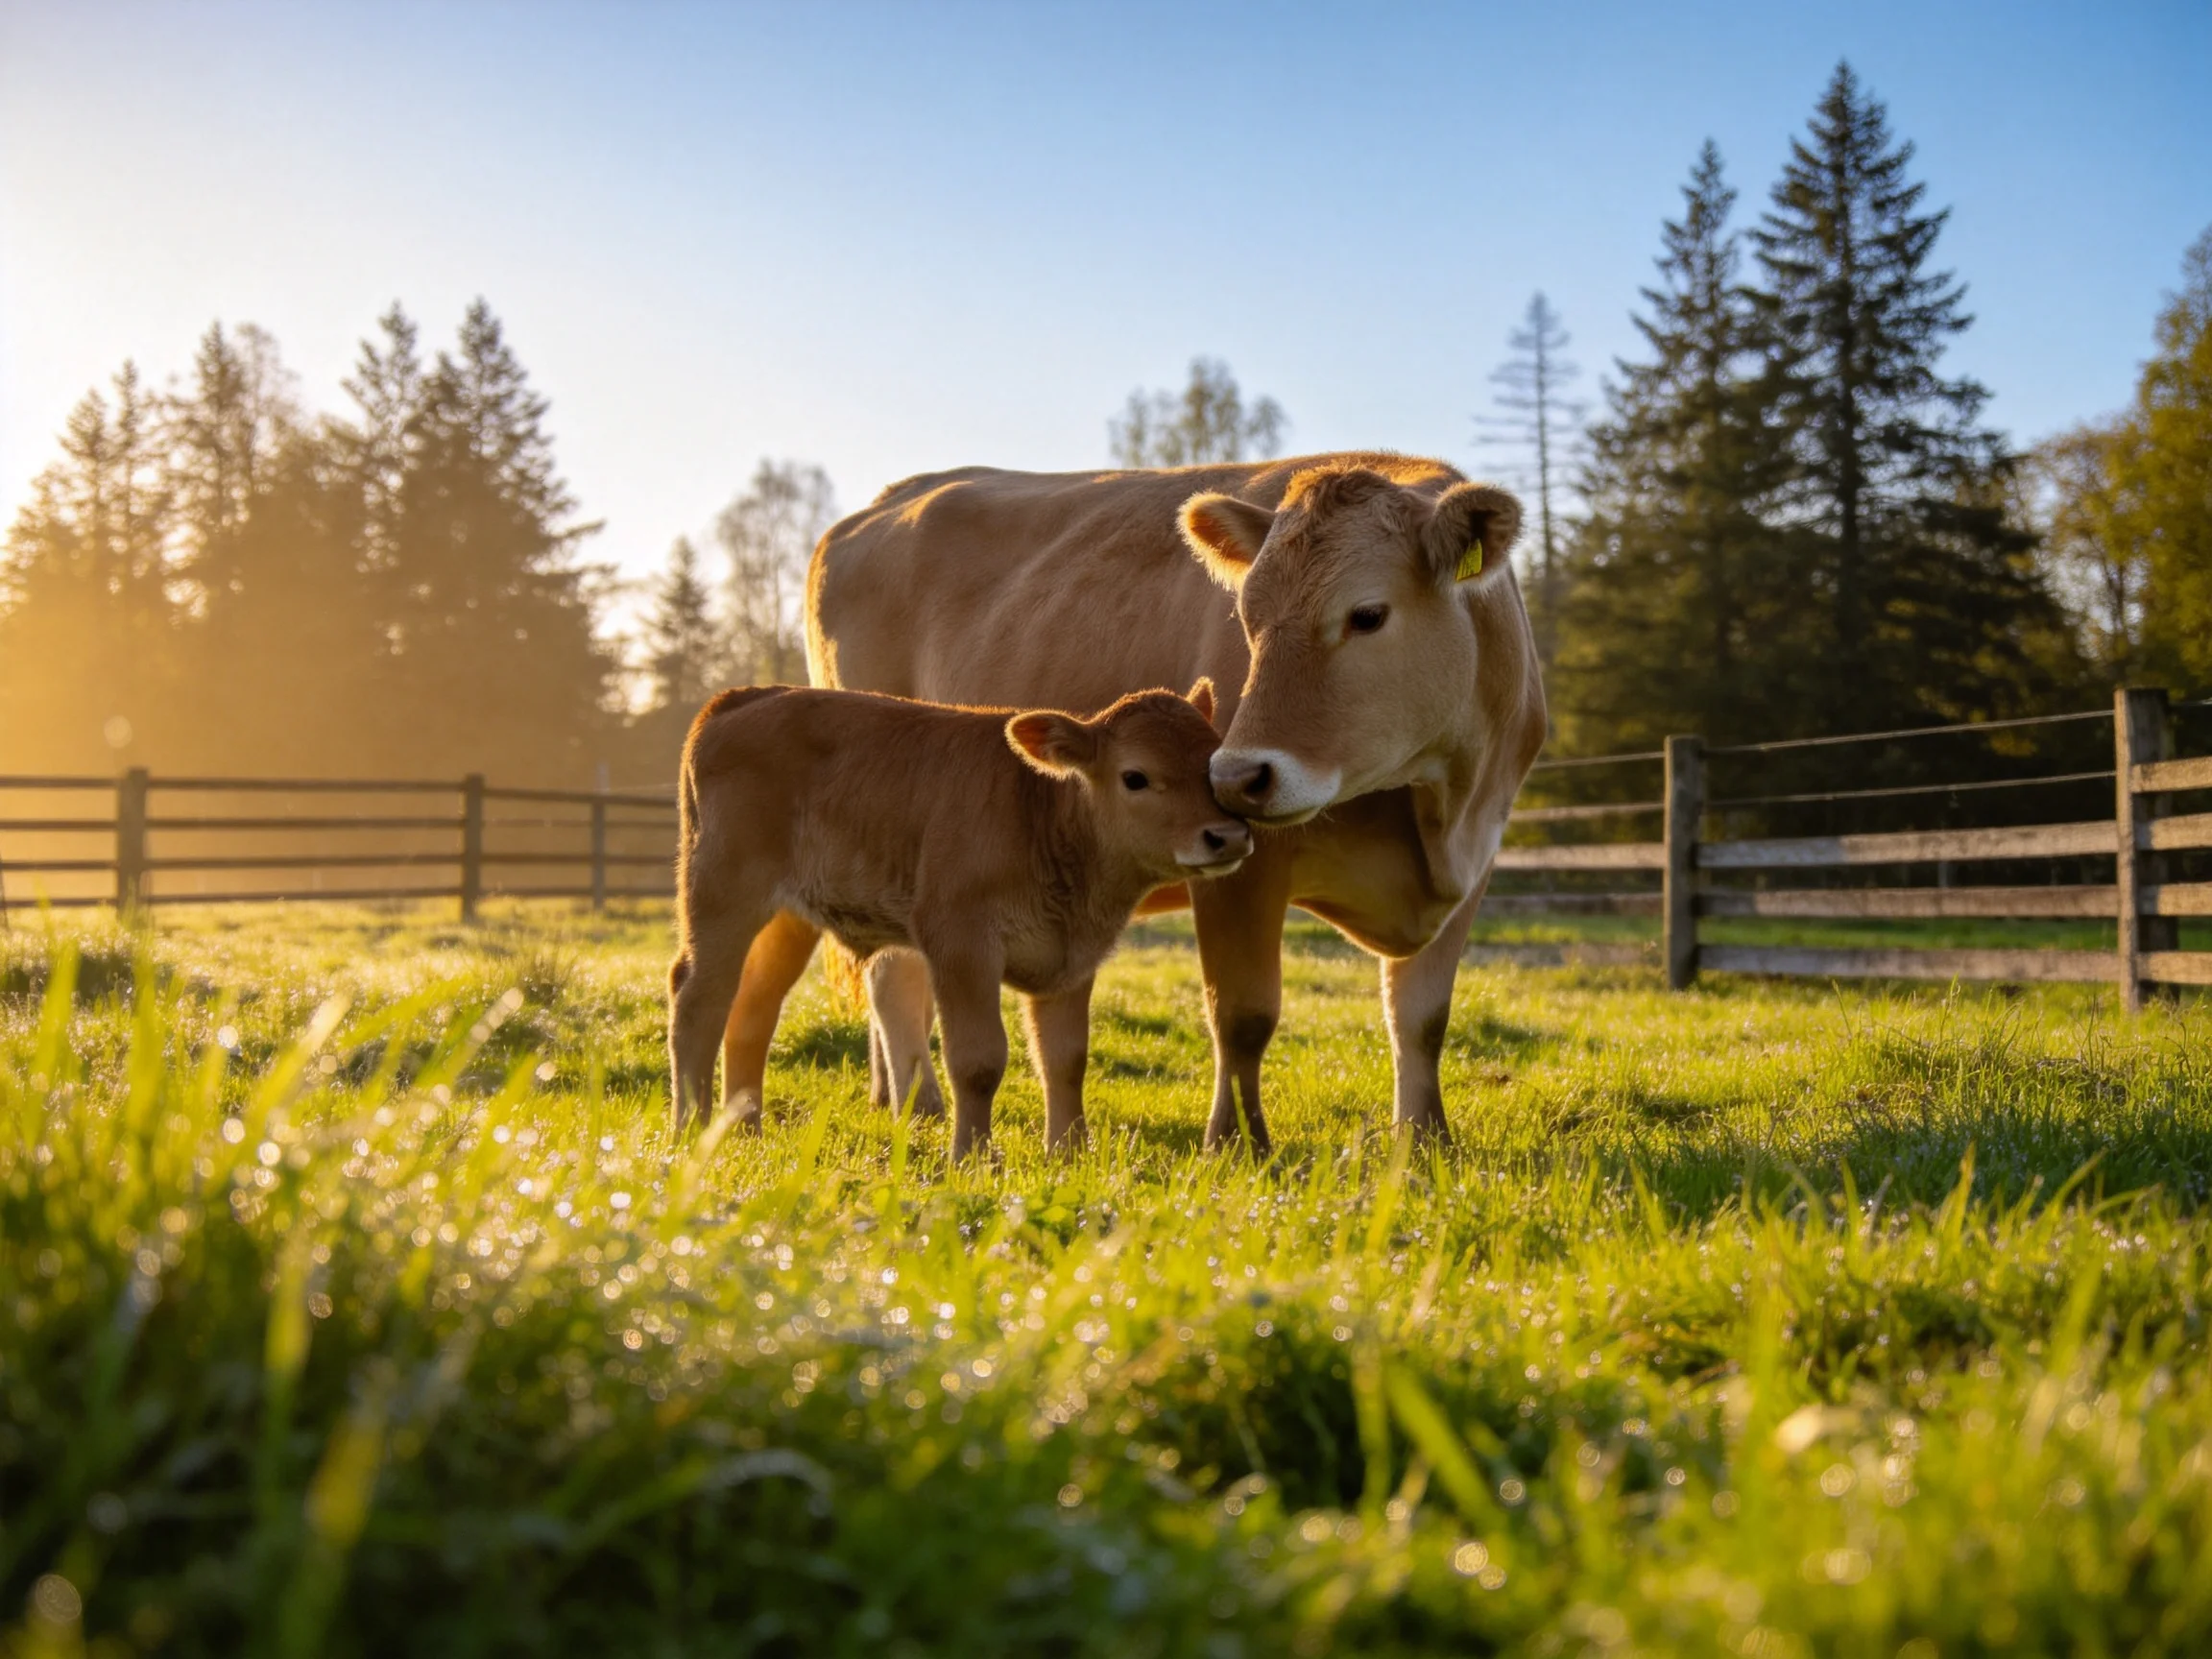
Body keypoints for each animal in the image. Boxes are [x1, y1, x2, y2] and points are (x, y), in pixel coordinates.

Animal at [667, 680, 1250, 1156]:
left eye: (1212, 764)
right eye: (1135, 777)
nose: (1227, 836)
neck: (1041, 814)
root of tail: (745, 697)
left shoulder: (1071, 961)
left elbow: (1065, 1059)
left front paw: (1068, 1155)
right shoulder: (961, 947)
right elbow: (978, 1061)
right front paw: (972, 1157)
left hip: (785, 918)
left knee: (752, 1008)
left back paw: (745, 1129)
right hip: (722, 897)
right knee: (699, 999)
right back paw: (690, 1127)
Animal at [800, 452, 1545, 1152]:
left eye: (1367, 615)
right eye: (1247, 620)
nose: (1239, 777)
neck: (1436, 810)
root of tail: (885, 500)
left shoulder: (1474, 864)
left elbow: (1420, 1018)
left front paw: (1425, 1140)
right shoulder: (1239, 869)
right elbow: (1242, 1016)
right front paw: (1236, 1143)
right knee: (894, 979)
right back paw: (921, 1105)